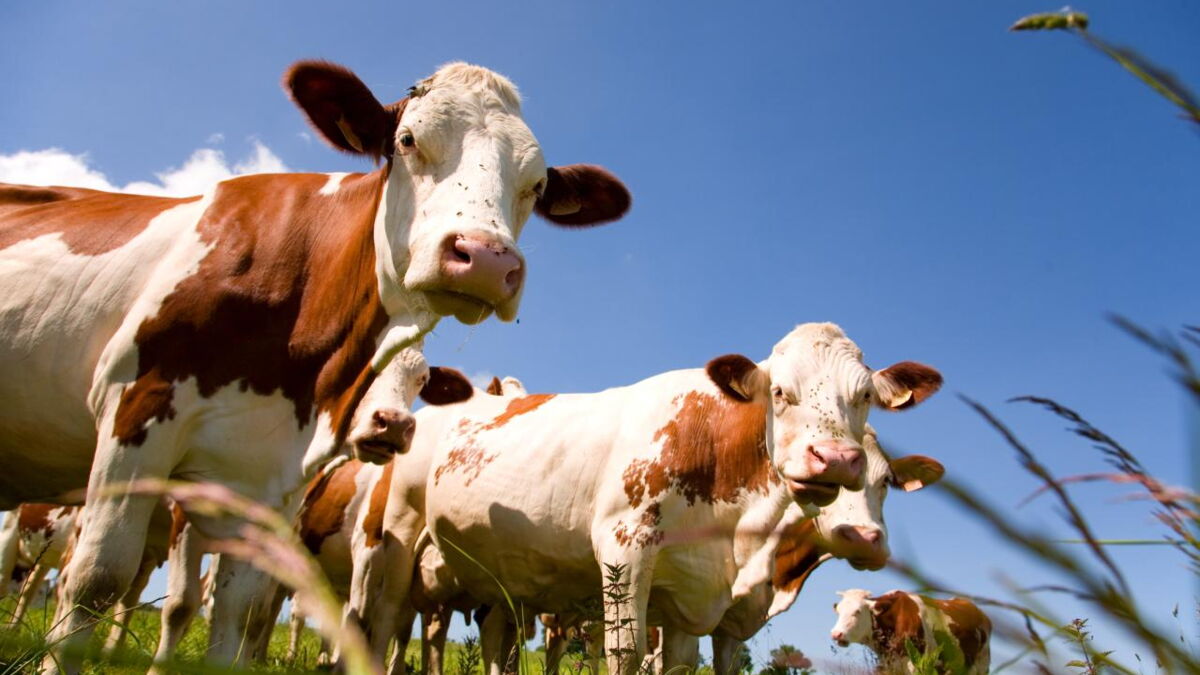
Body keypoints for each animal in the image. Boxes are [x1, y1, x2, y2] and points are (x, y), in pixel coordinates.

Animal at [0, 58, 629, 672]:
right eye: (407, 139)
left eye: (536, 184)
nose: (485, 260)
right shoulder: (137, 411)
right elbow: (99, 583)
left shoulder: (267, 484)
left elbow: (236, 614)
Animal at [371, 322, 941, 675]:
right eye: (780, 392)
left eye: (864, 396)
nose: (835, 459)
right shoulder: (624, 549)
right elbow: (625, 654)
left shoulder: (690, 595)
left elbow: (684, 663)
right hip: (396, 532)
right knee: (384, 618)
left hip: (503, 581)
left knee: (493, 637)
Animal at [831, 589, 992, 673]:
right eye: (838, 611)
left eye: (857, 611)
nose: (835, 634)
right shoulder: (890, 666)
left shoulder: (918, 664)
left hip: (981, 664)